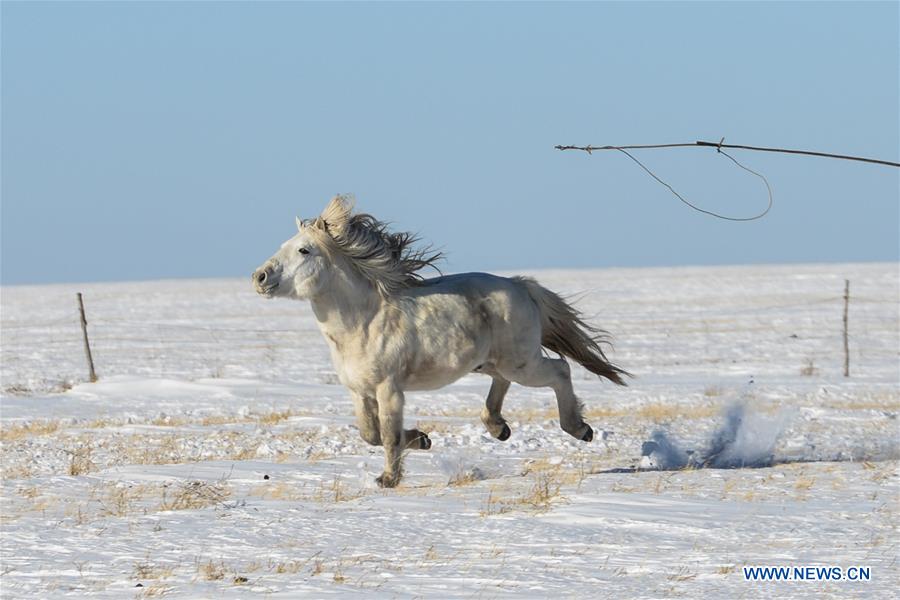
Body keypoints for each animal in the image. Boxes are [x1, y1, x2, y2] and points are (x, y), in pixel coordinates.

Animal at [253, 197, 624, 488]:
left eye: (304, 250)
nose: (260, 277)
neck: (363, 322)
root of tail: (522, 286)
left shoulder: (389, 389)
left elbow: (387, 435)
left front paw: (388, 479)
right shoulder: (359, 391)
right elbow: (370, 434)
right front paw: (422, 439)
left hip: (522, 364)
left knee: (560, 370)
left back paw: (580, 429)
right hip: (491, 362)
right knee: (502, 383)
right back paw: (498, 428)